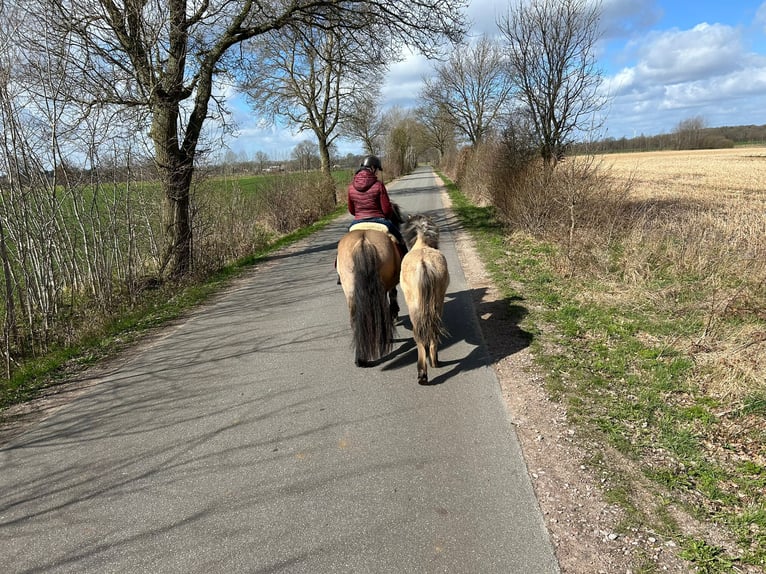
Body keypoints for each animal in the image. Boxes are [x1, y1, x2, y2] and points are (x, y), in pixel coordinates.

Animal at [336, 205, 404, 367]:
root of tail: (363, 241)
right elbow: (393, 295)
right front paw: (395, 313)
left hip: (350, 290)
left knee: (355, 319)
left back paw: (360, 358)